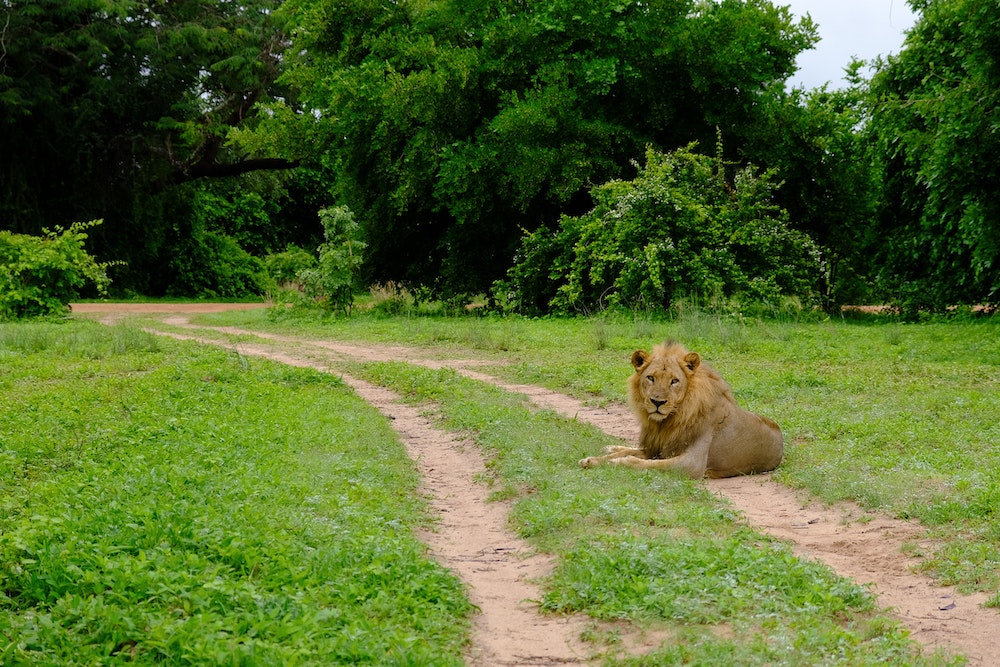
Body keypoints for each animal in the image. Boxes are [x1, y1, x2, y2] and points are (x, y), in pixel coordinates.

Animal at [584, 342, 784, 478]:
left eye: (674, 381)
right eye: (650, 378)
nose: (657, 402)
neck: (668, 422)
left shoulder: (692, 463)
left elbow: (642, 463)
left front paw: (617, 461)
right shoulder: (657, 449)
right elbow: (627, 452)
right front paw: (592, 460)